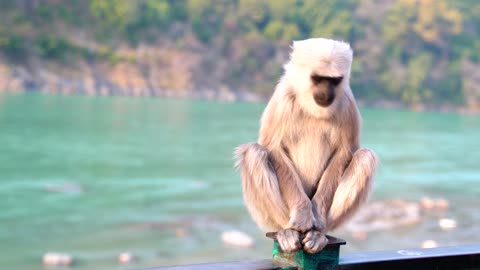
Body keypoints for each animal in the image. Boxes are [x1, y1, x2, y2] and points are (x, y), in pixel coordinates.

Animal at [234, 38, 376, 253]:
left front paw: (315, 214)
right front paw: (302, 215)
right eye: (318, 79)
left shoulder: (346, 101)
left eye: (334, 80)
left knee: (364, 157)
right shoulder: (283, 98)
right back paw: (287, 230)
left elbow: (345, 152)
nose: (326, 92)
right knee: (254, 152)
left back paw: (319, 233)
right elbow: (273, 148)